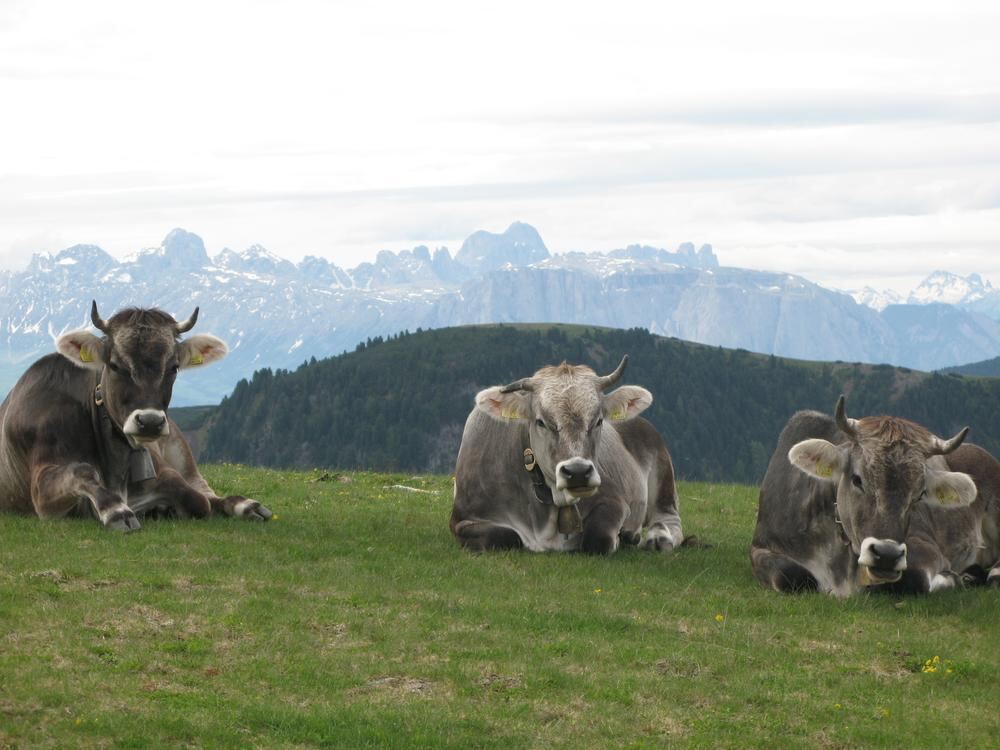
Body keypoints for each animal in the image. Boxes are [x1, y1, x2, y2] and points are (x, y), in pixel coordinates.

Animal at [0, 302, 274, 532]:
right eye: (114, 365)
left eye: (174, 367)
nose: (150, 421)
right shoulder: (42, 492)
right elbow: (82, 471)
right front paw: (117, 510)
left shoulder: (166, 474)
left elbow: (198, 500)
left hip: (182, 453)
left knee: (205, 491)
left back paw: (247, 506)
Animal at [452, 358, 680, 560]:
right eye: (540, 422)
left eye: (598, 421)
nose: (578, 472)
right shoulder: (462, 518)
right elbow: (506, 535)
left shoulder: (613, 499)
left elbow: (598, 538)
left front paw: (622, 537)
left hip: (663, 479)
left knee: (669, 518)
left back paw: (657, 538)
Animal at [752, 396, 996, 596]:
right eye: (857, 479)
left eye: (920, 494)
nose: (887, 554)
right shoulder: (760, 546)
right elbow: (790, 575)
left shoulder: (924, 545)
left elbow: (913, 578)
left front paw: (954, 578)